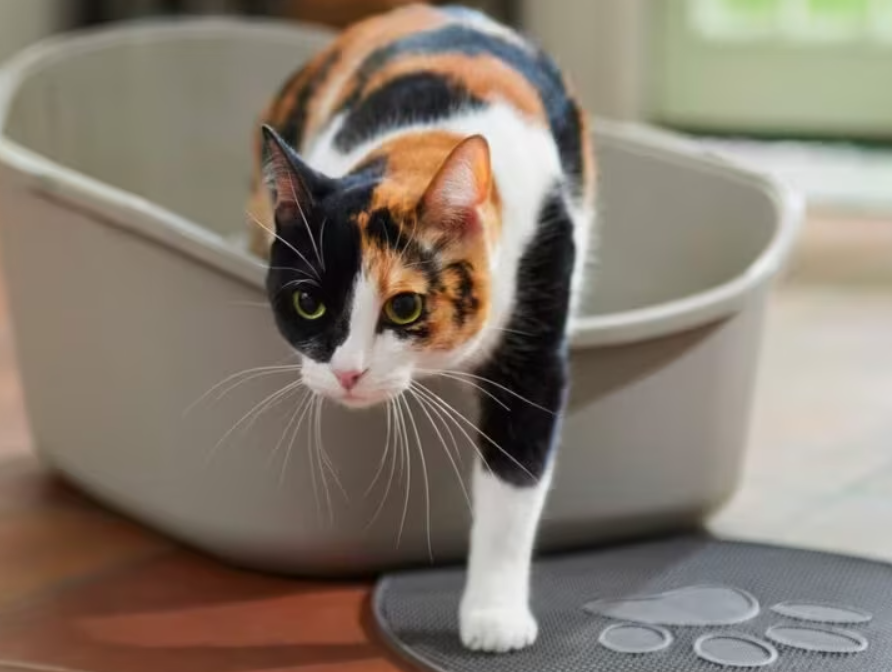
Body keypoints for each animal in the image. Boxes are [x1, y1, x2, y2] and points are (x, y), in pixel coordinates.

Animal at [247, 2, 596, 652]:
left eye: (404, 307)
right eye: (308, 302)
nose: (348, 372)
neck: (425, 142)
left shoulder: (535, 347)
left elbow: (514, 486)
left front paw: (494, 617)